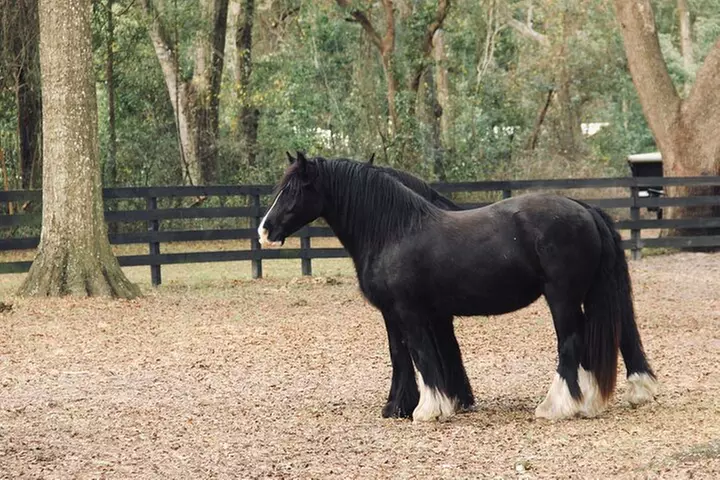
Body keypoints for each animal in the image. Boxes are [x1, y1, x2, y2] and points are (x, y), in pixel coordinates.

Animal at [259, 153, 658, 422]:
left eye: (295, 190)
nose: (265, 230)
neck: (394, 231)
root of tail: (583, 208)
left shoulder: (410, 312)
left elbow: (421, 355)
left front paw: (429, 409)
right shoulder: (404, 314)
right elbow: (404, 355)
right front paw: (406, 406)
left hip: (562, 298)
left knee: (570, 344)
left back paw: (556, 406)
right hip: (588, 295)